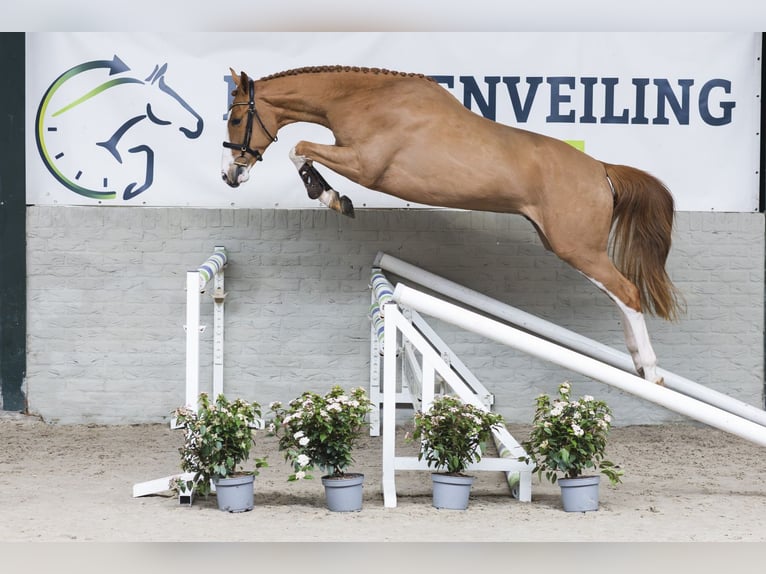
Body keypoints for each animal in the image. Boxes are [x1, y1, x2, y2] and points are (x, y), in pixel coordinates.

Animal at [221, 65, 683, 385]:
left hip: (577, 248)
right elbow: (300, 150)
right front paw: (333, 196)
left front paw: (334, 198)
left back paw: (651, 371)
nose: (231, 175)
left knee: (627, 291)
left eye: (234, 119)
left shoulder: (364, 165)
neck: (364, 99)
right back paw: (638, 363)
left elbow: (299, 148)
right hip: (567, 246)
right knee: (620, 294)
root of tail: (601, 169)